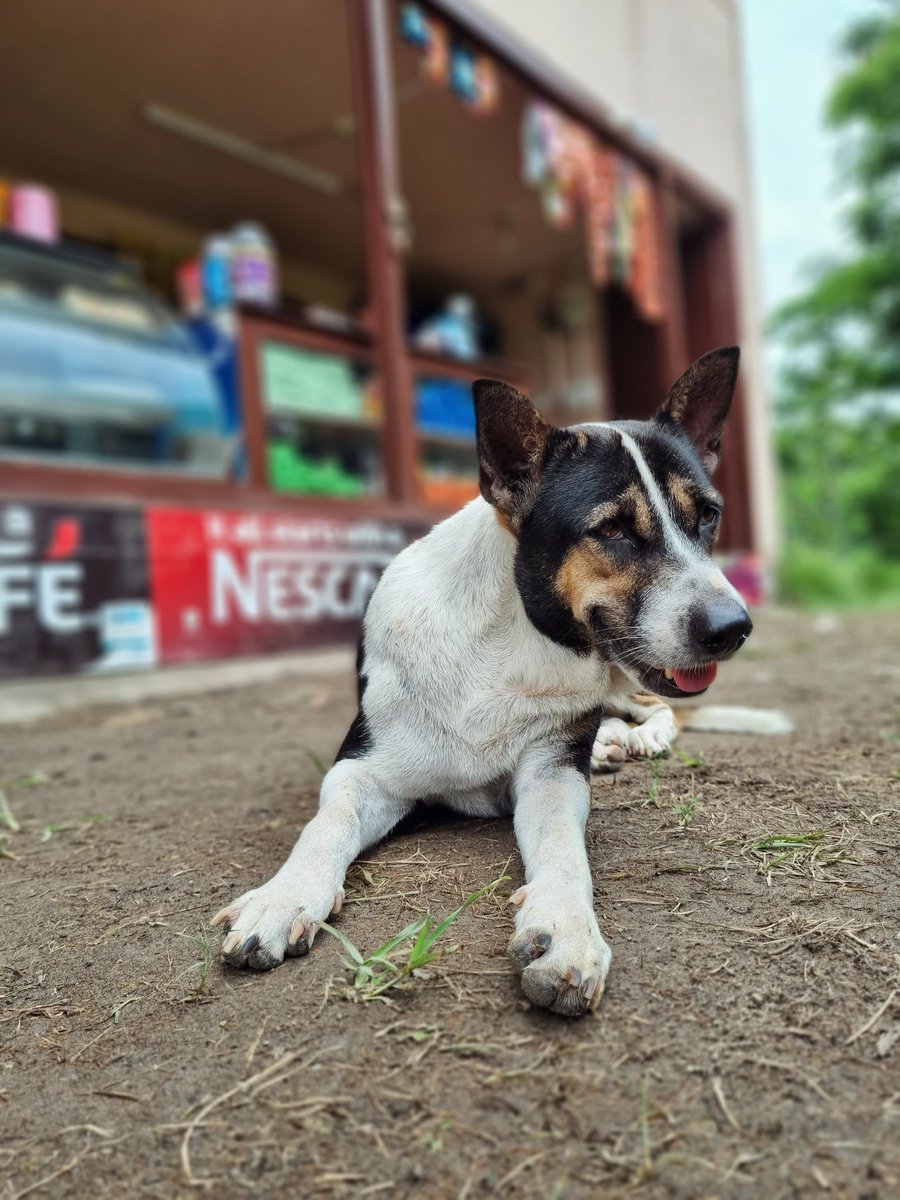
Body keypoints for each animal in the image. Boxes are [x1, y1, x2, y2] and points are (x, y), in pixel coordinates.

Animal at [213, 345, 753, 1012]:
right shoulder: (363, 770)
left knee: (652, 706)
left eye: (708, 516)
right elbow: (325, 825)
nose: (734, 627)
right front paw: (283, 898)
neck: (513, 640)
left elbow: (563, 848)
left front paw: (565, 931)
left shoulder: (551, 776)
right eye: (612, 530)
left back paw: (632, 737)